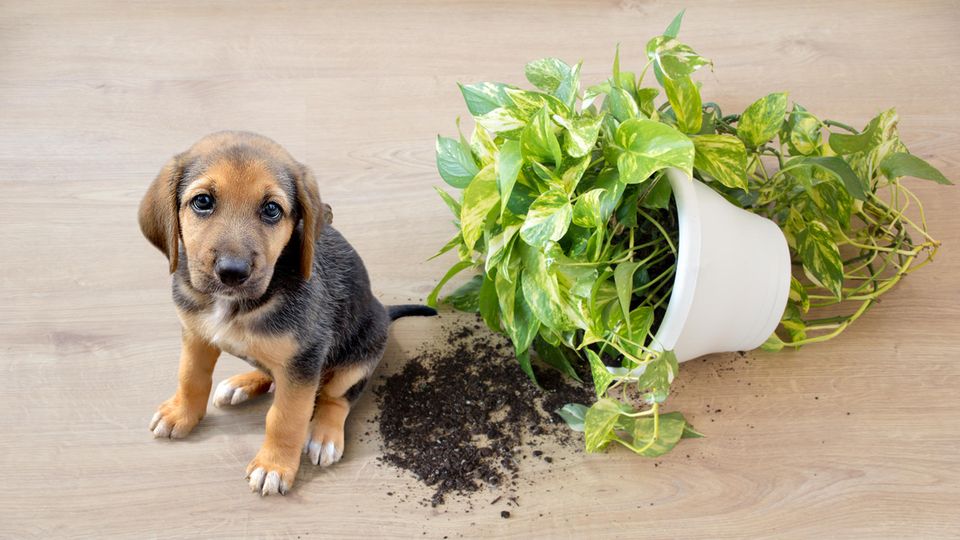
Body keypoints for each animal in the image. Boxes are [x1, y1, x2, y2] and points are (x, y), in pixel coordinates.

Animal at [139, 133, 436, 496]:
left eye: (271, 209)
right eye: (203, 201)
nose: (232, 273)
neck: (235, 304)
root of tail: (382, 310)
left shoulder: (303, 361)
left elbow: (285, 418)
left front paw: (274, 466)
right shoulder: (196, 335)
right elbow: (190, 377)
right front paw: (181, 413)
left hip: (360, 355)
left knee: (337, 397)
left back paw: (324, 434)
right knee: (269, 371)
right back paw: (242, 383)